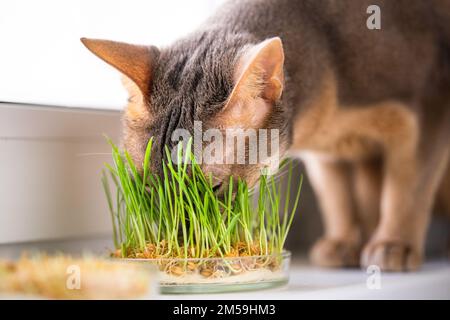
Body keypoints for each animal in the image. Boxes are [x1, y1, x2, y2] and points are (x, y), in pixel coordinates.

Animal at [81, 0, 450, 272]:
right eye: (148, 187)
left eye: (214, 188)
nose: (184, 243)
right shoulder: (326, 155)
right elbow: (336, 196)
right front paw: (343, 240)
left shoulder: (430, 104)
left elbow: (406, 188)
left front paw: (394, 244)